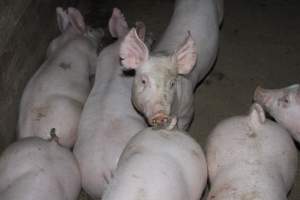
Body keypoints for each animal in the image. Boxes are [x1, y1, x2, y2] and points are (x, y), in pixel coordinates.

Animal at [18, 7, 104, 148]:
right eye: (91, 28)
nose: (102, 29)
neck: (69, 38)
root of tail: (30, 133)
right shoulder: (90, 54)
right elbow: (95, 65)